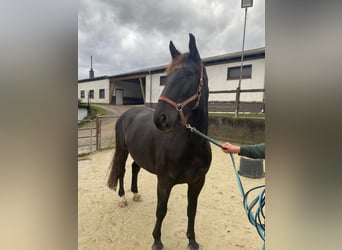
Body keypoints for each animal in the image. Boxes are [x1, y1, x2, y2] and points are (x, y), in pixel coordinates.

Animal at [108, 33, 212, 250]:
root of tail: (127, 114)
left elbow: (192, 210)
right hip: (122, 150)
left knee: (134, 168)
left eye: (188, 73)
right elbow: (161, 210)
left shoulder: (198, 181)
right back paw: (123, 198)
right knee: (121, 170)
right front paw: (157, 241)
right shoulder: (164, 181)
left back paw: (135, 194)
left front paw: (192, 240)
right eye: (167, 75)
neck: (192, 145)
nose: (160, 118)